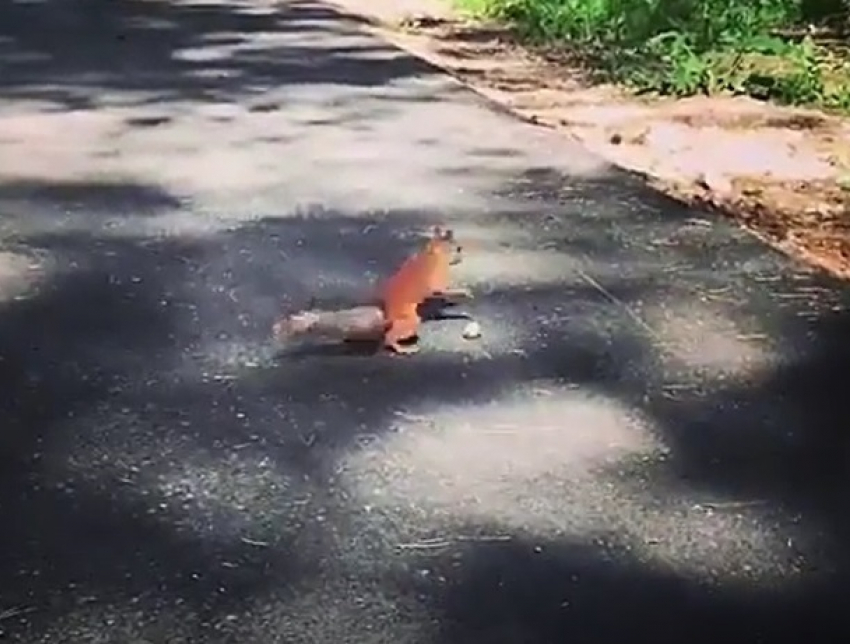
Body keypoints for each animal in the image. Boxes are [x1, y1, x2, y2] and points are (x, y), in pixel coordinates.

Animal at [272, 226, 470, 354]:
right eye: (457, 248)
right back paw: (402, 348)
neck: (433, 252)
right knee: (389, 338)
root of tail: (385, 315)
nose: (461, 254)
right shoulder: (437, 276)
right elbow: (439, 291)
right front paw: (463, 293)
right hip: (409, 320)